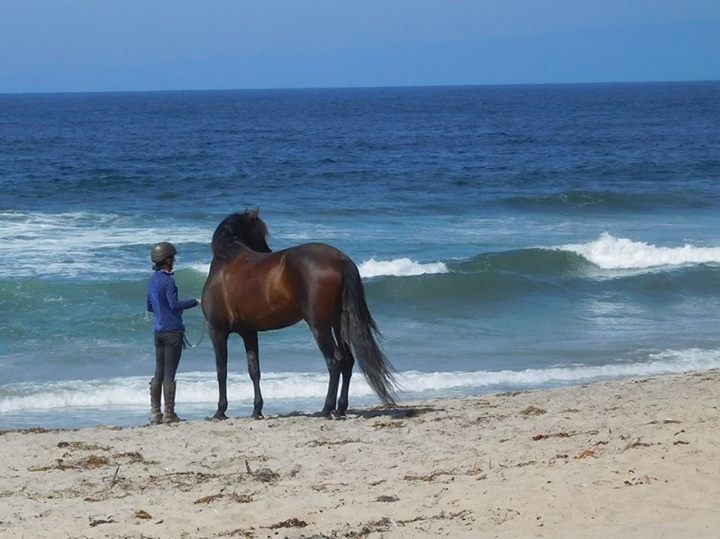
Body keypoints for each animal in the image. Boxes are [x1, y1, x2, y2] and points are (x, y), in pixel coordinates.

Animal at [201, 209, 397, 420]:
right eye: (257, 233)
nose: (267, 251)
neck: (227, 260)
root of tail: (341, 259)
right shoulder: (249, 332)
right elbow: (254, 370)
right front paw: (256, 410)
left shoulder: (217, 331)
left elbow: (221, 371)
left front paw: (220, 411)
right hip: (338, 324)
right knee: (348, 361)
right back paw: (340, 409)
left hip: (319, 326)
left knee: (335, 361)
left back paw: (326, 409)